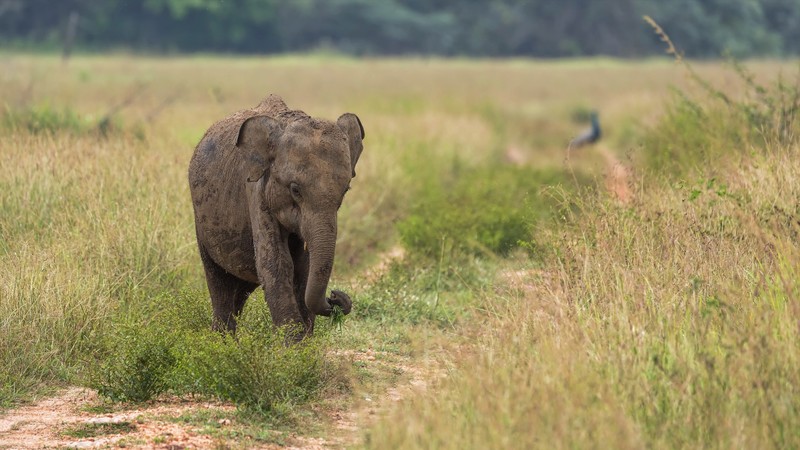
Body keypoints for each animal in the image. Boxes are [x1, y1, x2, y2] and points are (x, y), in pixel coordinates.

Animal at [188, 94, 364, 337]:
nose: (335, 297)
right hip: (202, 224)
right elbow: (275, 263)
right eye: (295, 190)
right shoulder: (257, 190)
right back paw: (221, 342)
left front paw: (305, 344)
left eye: (346, 190)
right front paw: (294, 344)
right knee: (219, 281)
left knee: (240, 290)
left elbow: (303, 268)